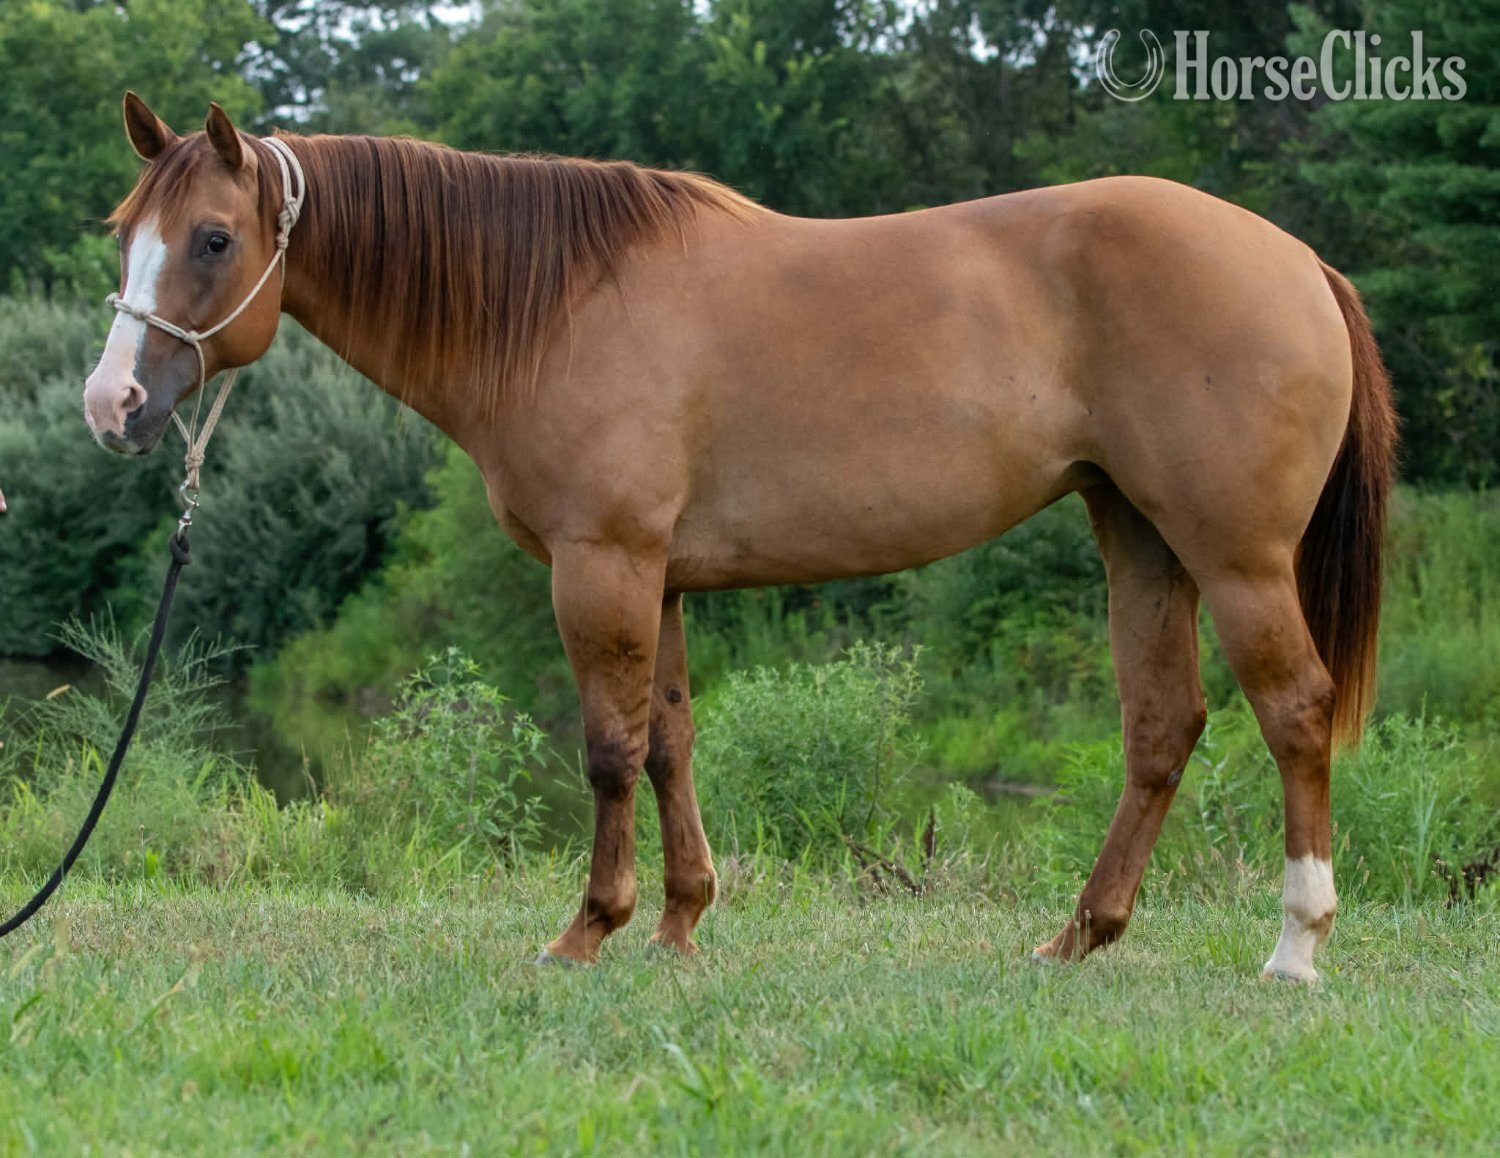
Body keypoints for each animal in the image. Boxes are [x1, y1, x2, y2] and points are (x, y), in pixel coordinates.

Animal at [84, 94, 1396, 981]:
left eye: (212, 239)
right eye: (121, 232)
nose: (113, 405)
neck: (554, 305)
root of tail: (1298, 259)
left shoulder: (602, 567)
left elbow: (609, 750)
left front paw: (587, 931)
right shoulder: (657, 579)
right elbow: (670, 743)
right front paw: (678, 924)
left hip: (1235, 557)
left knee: (1293, 712)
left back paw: (1296, 947)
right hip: (1139, 539)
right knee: (1163, 727)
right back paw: (1078, 937)